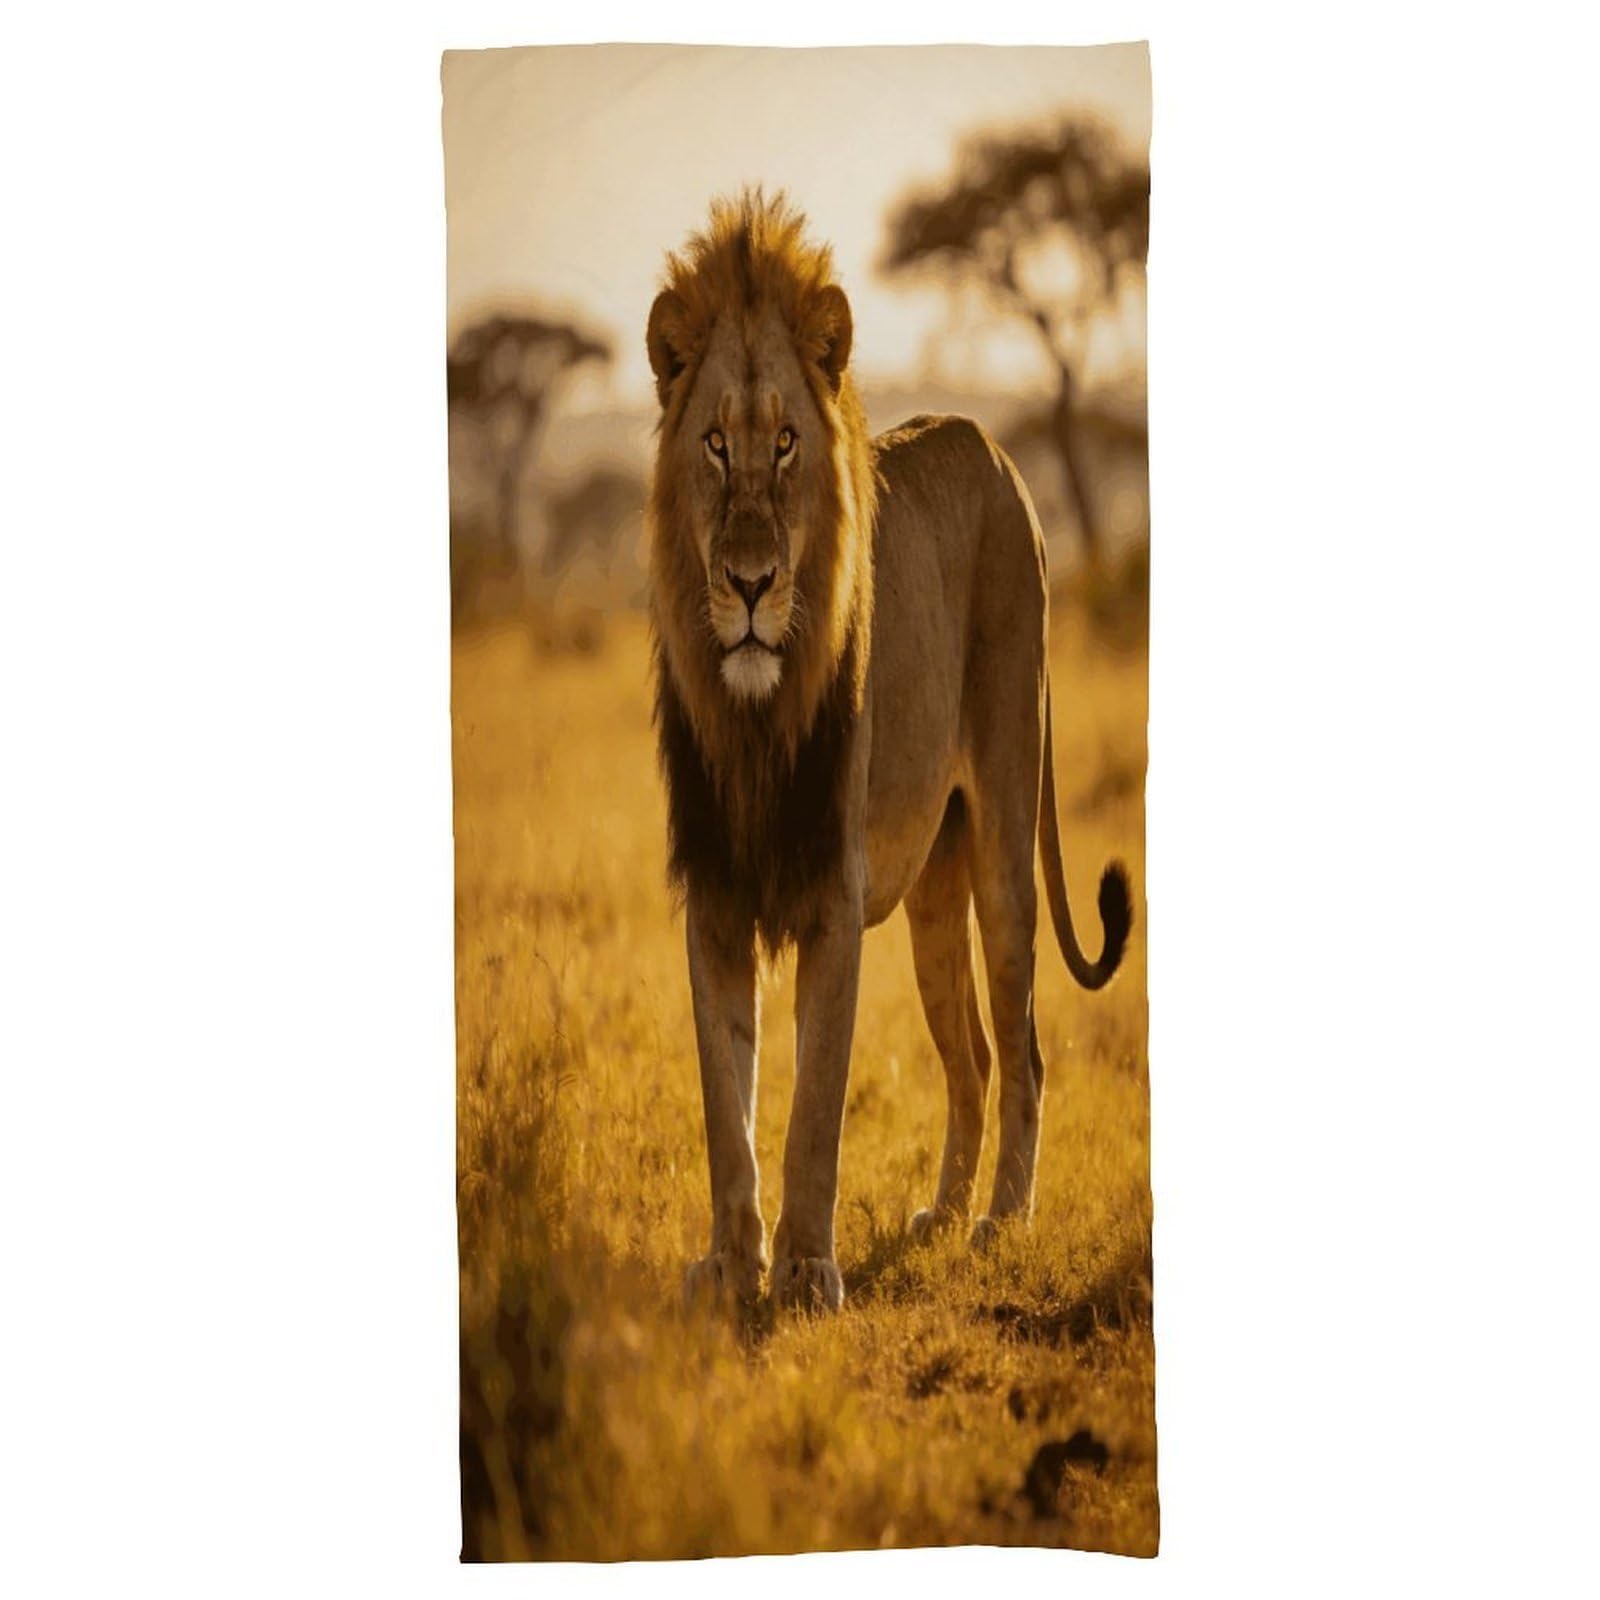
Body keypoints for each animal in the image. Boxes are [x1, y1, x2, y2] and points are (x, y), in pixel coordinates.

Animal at [646, 192, 1131, 1313]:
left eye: (786, 442)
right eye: (714, 446)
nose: (749, 583)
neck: (753, 717)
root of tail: (999, 454)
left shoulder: (832, 892)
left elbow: (812, 1112)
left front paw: (806, 1271)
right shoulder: (714, 896)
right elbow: (725, 1108)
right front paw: (730, 1269)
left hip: (1001, 838)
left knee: (1025, 1050)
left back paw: (1001, 1219)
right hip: (930, 891)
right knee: (971, 1059)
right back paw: (944, 1213)